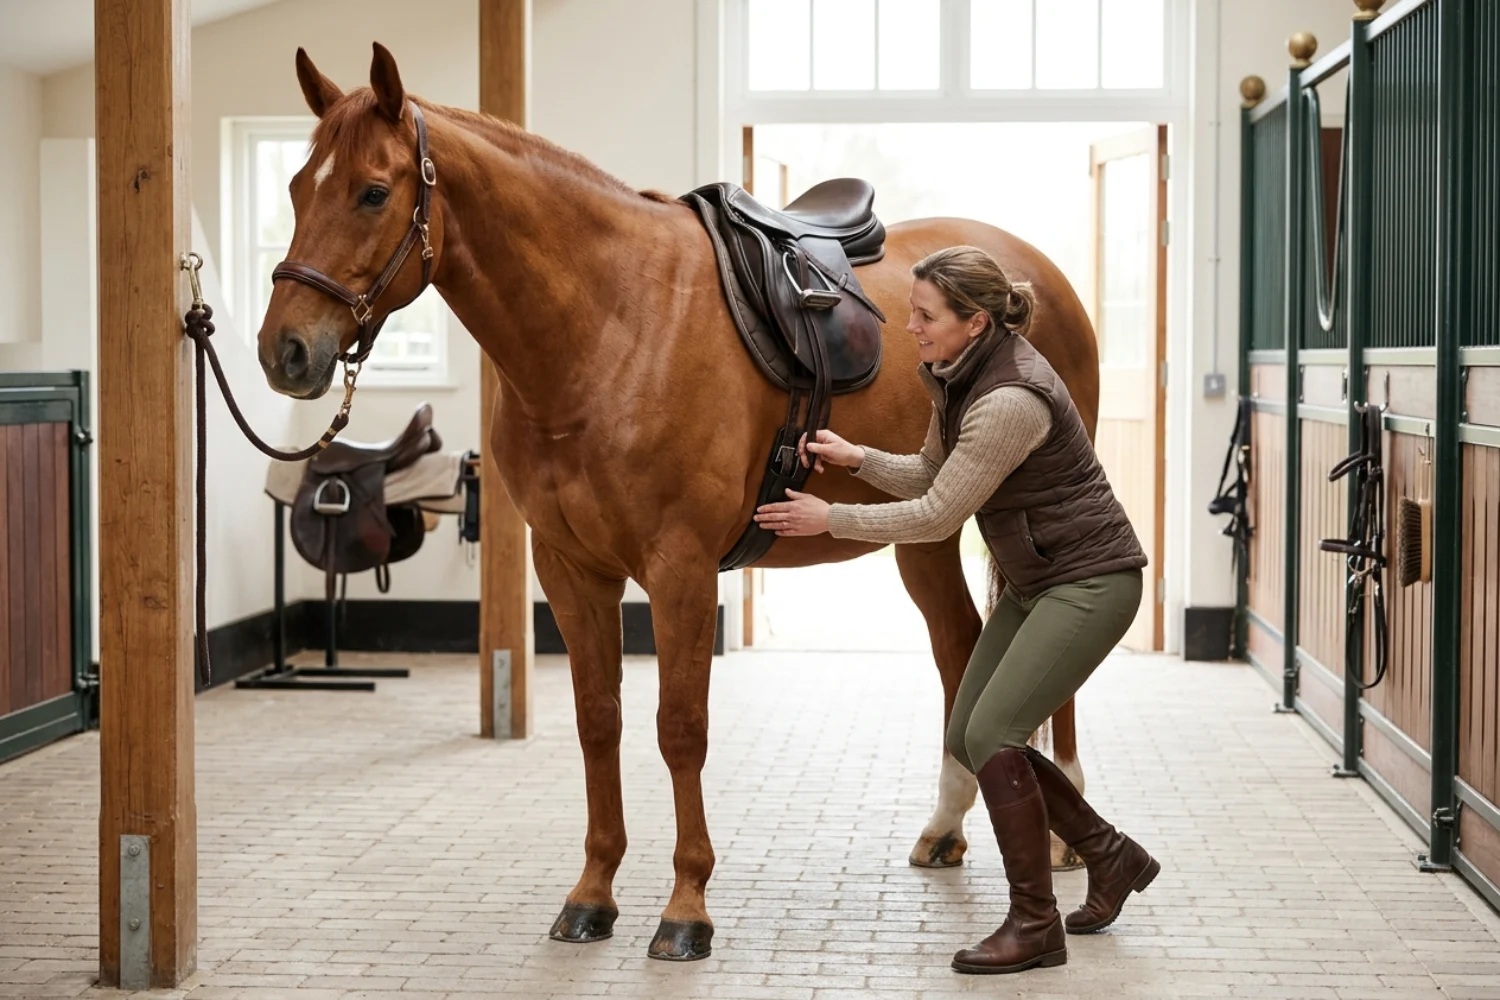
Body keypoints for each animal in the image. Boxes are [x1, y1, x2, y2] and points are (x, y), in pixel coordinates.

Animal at [258, 43, 1102, 962]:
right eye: (296, 186)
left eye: (373, 192)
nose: (283, 351)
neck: (608, 326)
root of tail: (1031, 276)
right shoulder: (570, 569)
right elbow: (599, 722)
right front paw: (593, 894)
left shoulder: (682, 569)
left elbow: (679, 727)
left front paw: (687, 906)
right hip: (928, 529)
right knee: (959, 649)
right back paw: (947, 827)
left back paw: (1062, 837)